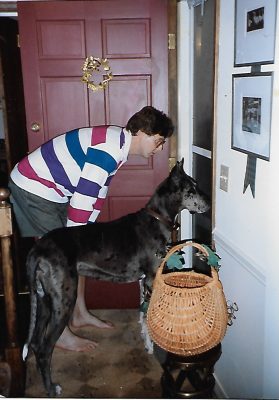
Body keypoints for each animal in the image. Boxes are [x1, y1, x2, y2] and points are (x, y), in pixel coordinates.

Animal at [22, 160, 210, 396]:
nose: (209, 204)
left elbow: (144, 316)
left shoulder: (143, 282)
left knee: (36, 343)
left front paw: (147, 344)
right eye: (190, 189)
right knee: (45, 348)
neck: (156, 218)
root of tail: (37, 250)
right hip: (63, 300)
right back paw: (51, 389)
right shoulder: (151, 279)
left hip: (44, 299)